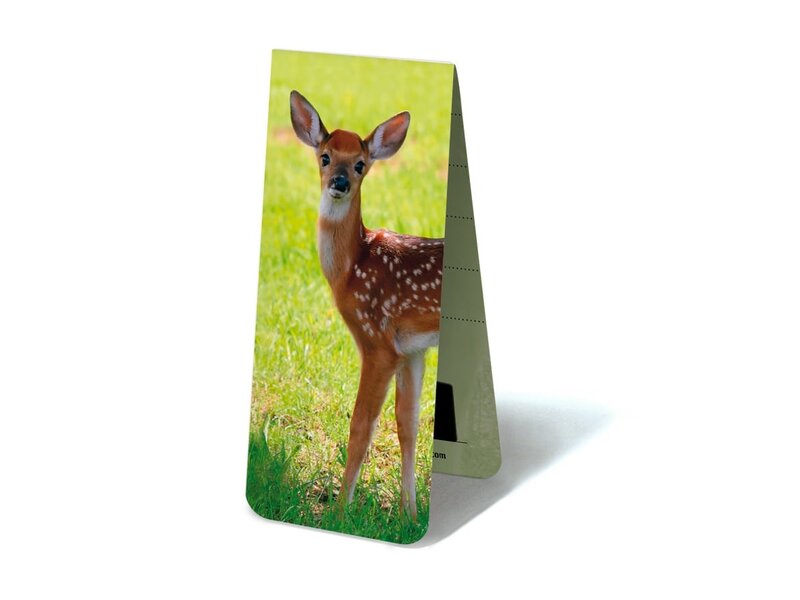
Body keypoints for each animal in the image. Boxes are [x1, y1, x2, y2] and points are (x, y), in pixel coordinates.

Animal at [289, 90, 443, 520]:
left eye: (360, 164)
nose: (340, 182)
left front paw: (340, 511)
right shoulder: (411, 348)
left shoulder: (376, 340)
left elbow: (361, 425)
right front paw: (410, 513)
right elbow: (408, 424)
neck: (351, 268)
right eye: (325, 156)